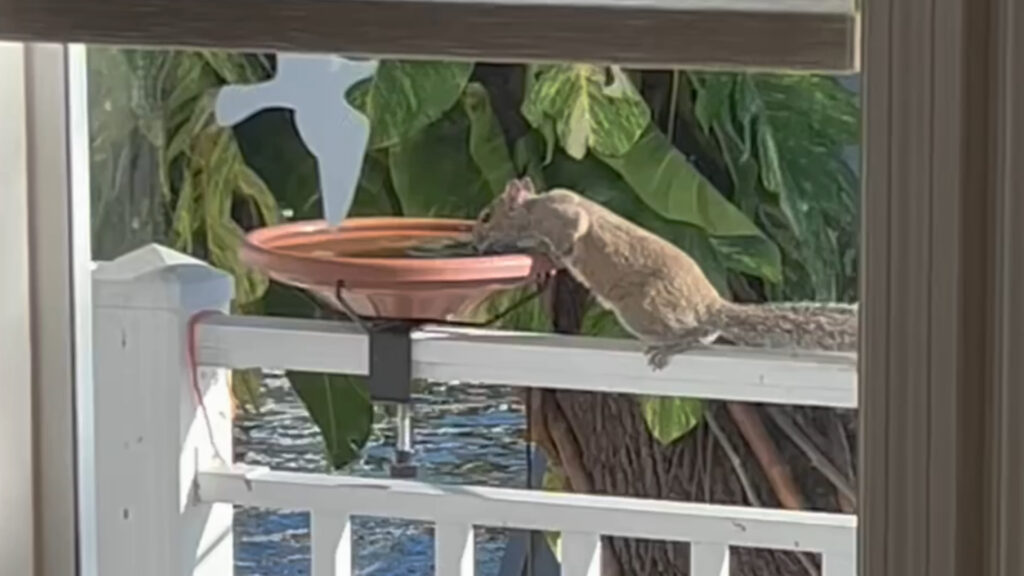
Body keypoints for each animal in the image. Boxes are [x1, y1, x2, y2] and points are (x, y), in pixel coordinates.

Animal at [471, 177, 858, 370]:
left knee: (696, 331)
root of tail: (710, 304)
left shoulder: (565, 217)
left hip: (643, 309)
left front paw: (549, 250)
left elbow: (570, 236)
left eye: (487, 216)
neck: (534, 209)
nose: (475, 242)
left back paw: (673, 346)